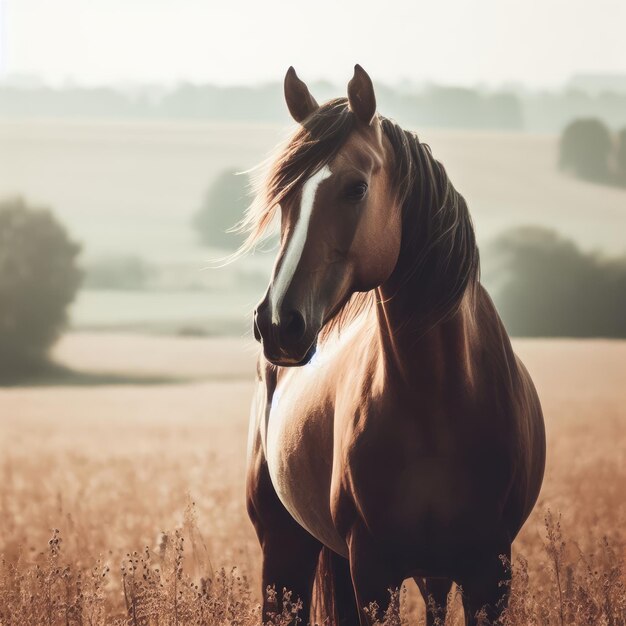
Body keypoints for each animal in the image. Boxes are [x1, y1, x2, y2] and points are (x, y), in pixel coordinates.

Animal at [244, 66, 544, 620]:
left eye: (356, 188)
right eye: (284, 196)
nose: (277, 323)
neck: (437, 397)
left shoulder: (490, 574)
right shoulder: (373, 572)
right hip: (286, 549)